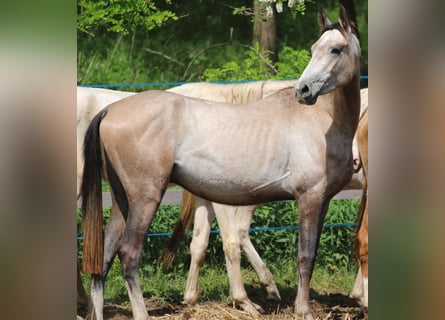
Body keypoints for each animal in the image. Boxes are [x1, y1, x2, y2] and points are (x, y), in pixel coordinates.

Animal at [80, 5, 360, 320]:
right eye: (314, 49)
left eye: (336, 49)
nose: (303, 90)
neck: (322, 119)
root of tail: (109, 110)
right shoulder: (309, 199)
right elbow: (305, 256)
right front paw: (303, 311)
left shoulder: (322, 202)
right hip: (144, 198)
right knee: (128, 254)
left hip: (121, 200)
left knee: (104, 257)